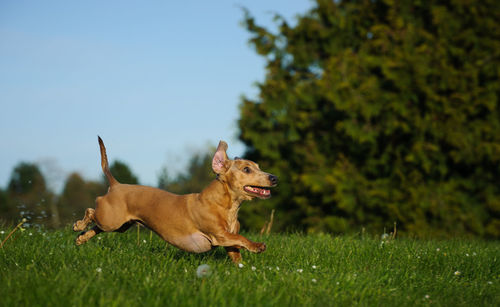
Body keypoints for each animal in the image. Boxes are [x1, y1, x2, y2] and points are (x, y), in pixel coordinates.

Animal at [72, 138, 278, 264]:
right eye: (246, 169)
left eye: (258, 166)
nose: (274, 178)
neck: (227, 206)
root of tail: (116, 185)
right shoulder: (220, 235)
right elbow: (241, 238)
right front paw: (257, 246)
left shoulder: (229, 242)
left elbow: (237, 251)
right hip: (111, 220)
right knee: (92, 210)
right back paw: (78, 225)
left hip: (120, 225)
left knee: (97, 226)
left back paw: (82, 238)